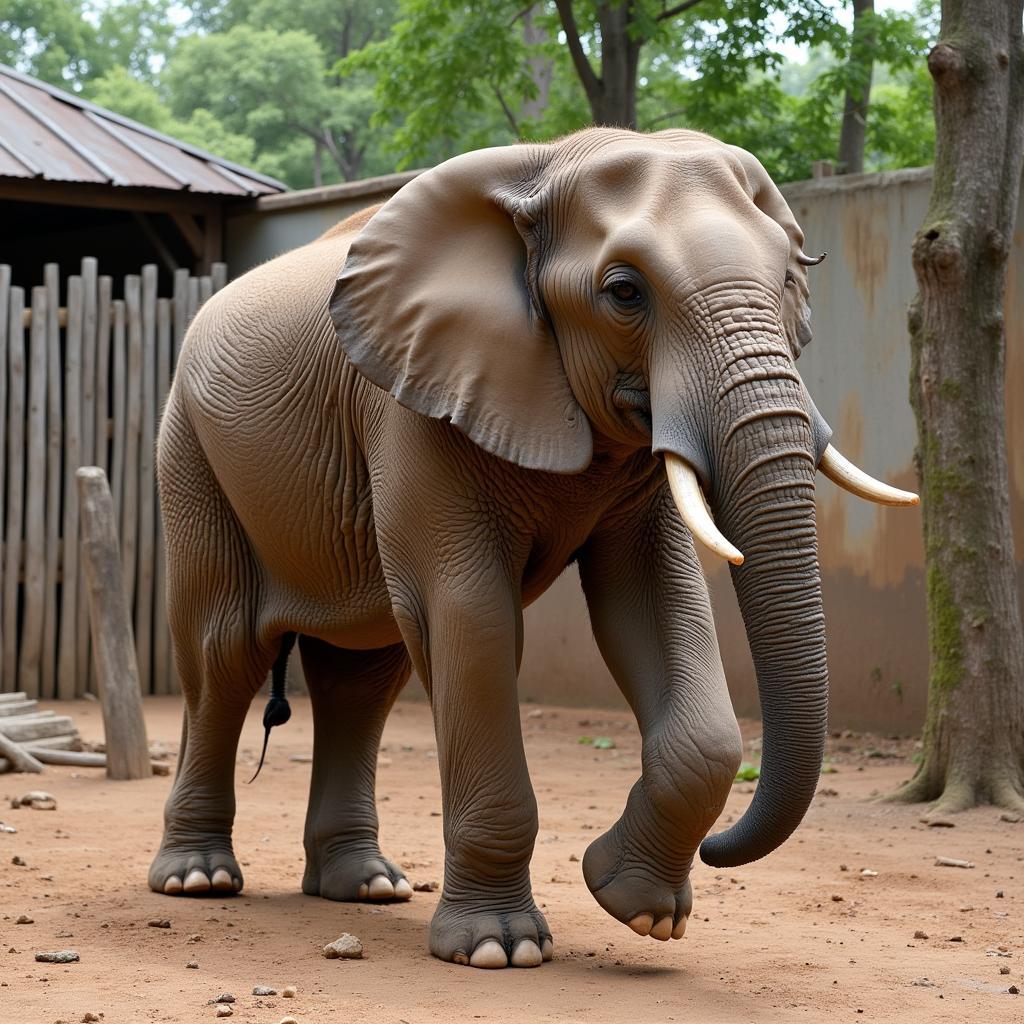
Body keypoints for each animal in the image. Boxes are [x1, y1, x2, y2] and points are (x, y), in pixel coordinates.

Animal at [148, 128, 917, 966]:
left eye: (787, 277)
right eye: (624, 293)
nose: (722, 852)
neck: (546, 165)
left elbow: (654, 605)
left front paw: (638, 910)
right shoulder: (415, 401)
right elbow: (473, 617)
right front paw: (498, 949)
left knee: (363, 675)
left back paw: (367, 887)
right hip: (190, 453)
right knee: (225, 653)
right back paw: (197, 880)